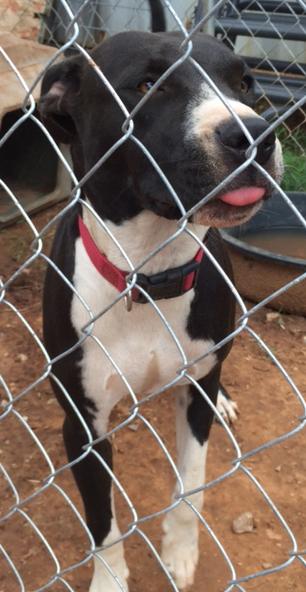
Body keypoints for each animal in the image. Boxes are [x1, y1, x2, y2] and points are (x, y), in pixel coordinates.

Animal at [39, 32, 284, 592]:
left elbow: (191, 486)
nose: (257, 134)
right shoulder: (81, 427)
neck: (149, 273)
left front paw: (179, 552)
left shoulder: (195, 393)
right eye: (149, 85)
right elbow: (102, 520)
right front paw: (109, 580)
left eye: (244, 82)